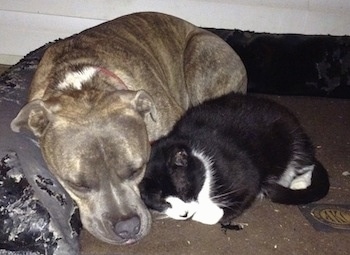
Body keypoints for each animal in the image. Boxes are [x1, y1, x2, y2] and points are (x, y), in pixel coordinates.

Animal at [139, 92, 328, 228]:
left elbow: (237, 200)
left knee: (305, 160)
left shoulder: (242, 172)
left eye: (183, 189)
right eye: (161, 201)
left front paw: (207, 212)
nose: (184, 213)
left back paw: (298, 182)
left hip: (292, 137)